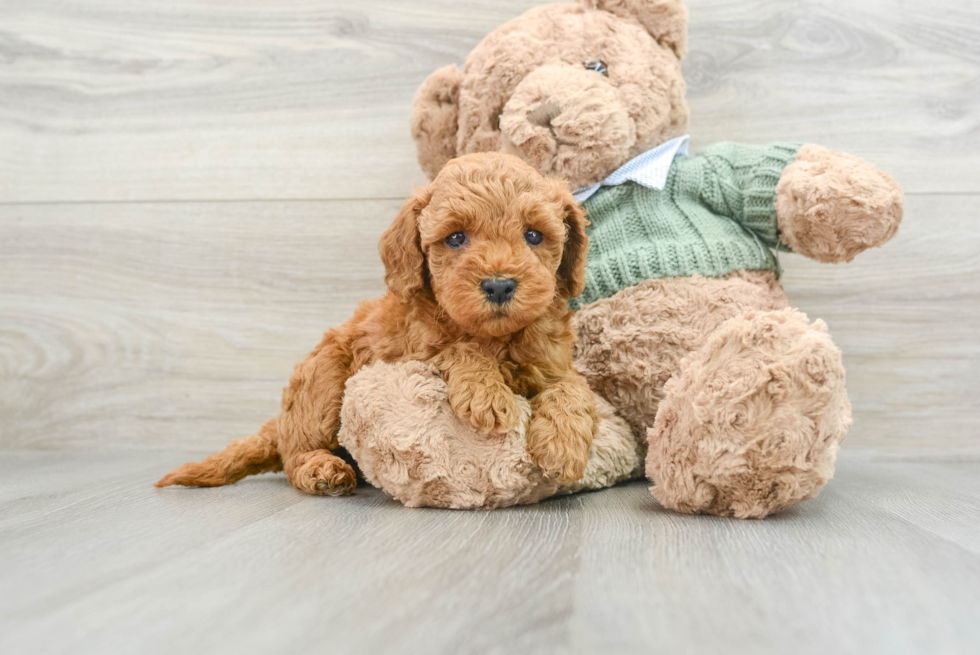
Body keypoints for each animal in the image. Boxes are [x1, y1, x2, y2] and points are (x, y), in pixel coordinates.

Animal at [156, 151, 596, 494]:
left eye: (534, 235)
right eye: (455, 238)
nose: (499, 285)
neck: (495, 337)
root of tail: (280, 422)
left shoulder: (554, 364)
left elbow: (573, 389)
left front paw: (564, 444)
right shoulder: (409, 355)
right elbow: (458, 349)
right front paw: (488, 394)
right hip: (323, 383)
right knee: (294, 453)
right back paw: (322, 470)